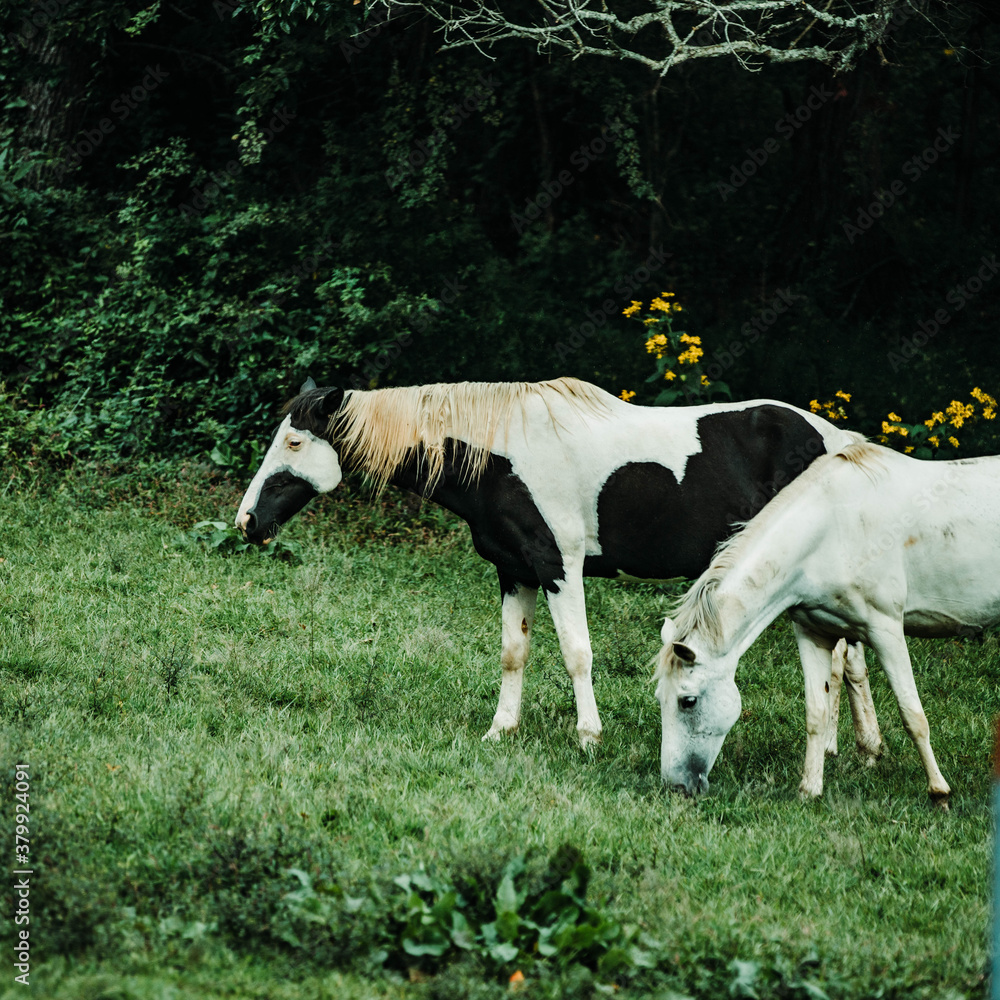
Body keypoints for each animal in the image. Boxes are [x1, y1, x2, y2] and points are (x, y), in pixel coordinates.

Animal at [236, 378, 868, 748]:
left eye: (295, 443)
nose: (247, 521)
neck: (500, 456)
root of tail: (835, 438)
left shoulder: (558, 567)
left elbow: (576, 653)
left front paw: (589, 736)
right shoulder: (513, 570)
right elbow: (513, 653)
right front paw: (501, 729)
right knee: (850, 663)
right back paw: (860, 750)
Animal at [656, 444, 1000, 804]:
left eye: (688, 700)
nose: (676, 786)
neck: (832, 530)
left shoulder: (886, 631)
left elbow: (912, 714)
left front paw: (938, 791)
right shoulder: (813, 633)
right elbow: (816, 713)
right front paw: (810, 789)